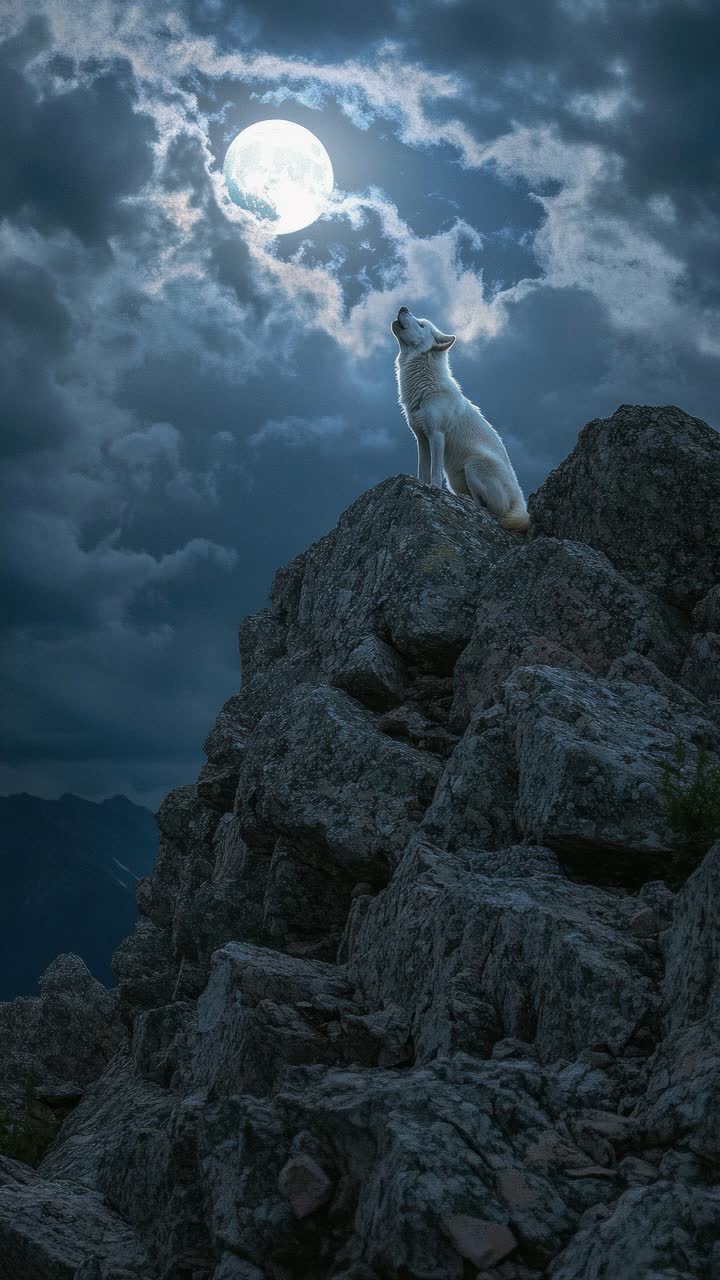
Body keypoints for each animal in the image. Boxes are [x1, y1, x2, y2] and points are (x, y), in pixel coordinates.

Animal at [392, 306, 530, 532]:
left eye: (421, 324)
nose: (404, 307)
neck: (425, 388)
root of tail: (520, 503)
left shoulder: (437, 435)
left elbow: (435, 472)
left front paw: (434, 490)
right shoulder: (421, 438)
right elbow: (423, 471)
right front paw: (421, 486)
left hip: (472, 465)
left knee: (490, 509)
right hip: (457, 479)